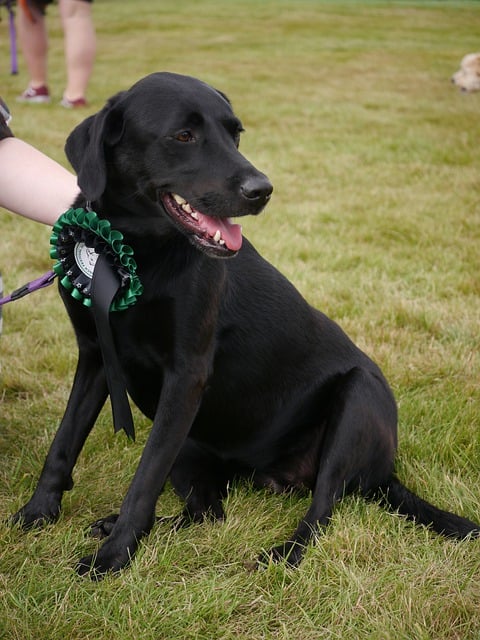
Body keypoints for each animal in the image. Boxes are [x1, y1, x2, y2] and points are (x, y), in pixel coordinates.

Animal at [12, 72, 480, 576]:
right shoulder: (98, 355)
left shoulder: (186, 376)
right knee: (209, 512)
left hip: (358, 399)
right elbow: (64, 442)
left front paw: (112, 559)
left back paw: (282, 555)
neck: (137, 252)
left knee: (321, 510)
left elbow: (143, 479)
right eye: (183, 135)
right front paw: (38, 513)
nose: (263, 190)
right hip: (190, 444)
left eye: (235, 134)